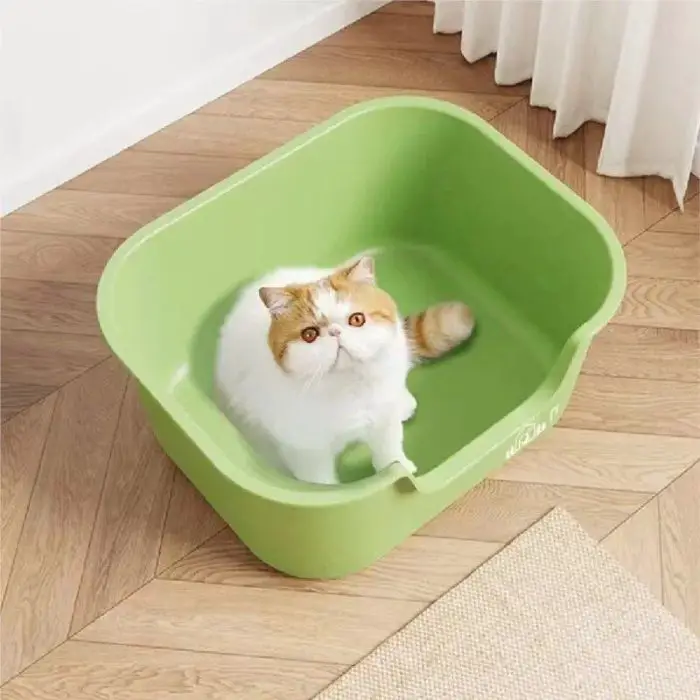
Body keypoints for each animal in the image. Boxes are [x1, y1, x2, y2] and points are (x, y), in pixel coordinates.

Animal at [216, 254, 474, 484]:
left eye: (357, 319)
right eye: (309, 334)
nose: (335, 332)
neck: (348, 388)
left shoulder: (383, 420)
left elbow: (389, 451)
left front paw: (399, 467)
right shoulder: (305, 449)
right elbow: (320, 482)